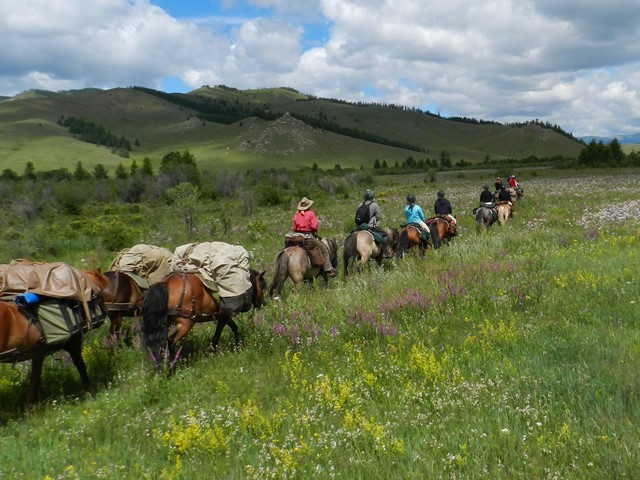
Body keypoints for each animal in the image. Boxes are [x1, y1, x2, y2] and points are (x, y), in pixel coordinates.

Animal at [0, 266, 109, 408]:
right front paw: (90, 391)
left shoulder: (38, 353)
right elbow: (81, 366)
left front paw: (30, 407)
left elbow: (35, 377)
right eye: (99, 293)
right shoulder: (73, 345)